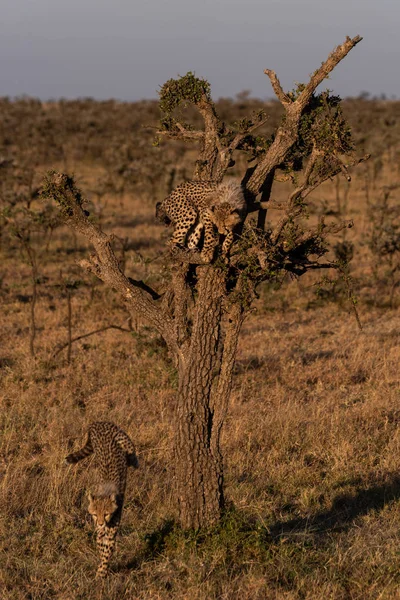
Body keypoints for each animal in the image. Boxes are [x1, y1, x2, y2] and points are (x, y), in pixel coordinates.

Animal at [65, 420, 139, 580]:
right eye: (94, 514)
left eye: (106, 514)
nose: (100, 523)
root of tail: (96, 422)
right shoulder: (100, 531)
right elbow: (101, 546)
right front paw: (101, 566)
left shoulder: (112, 529)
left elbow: (107, 551)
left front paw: (101, 572)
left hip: (121, 436)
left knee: (130, 446)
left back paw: (134, 461)